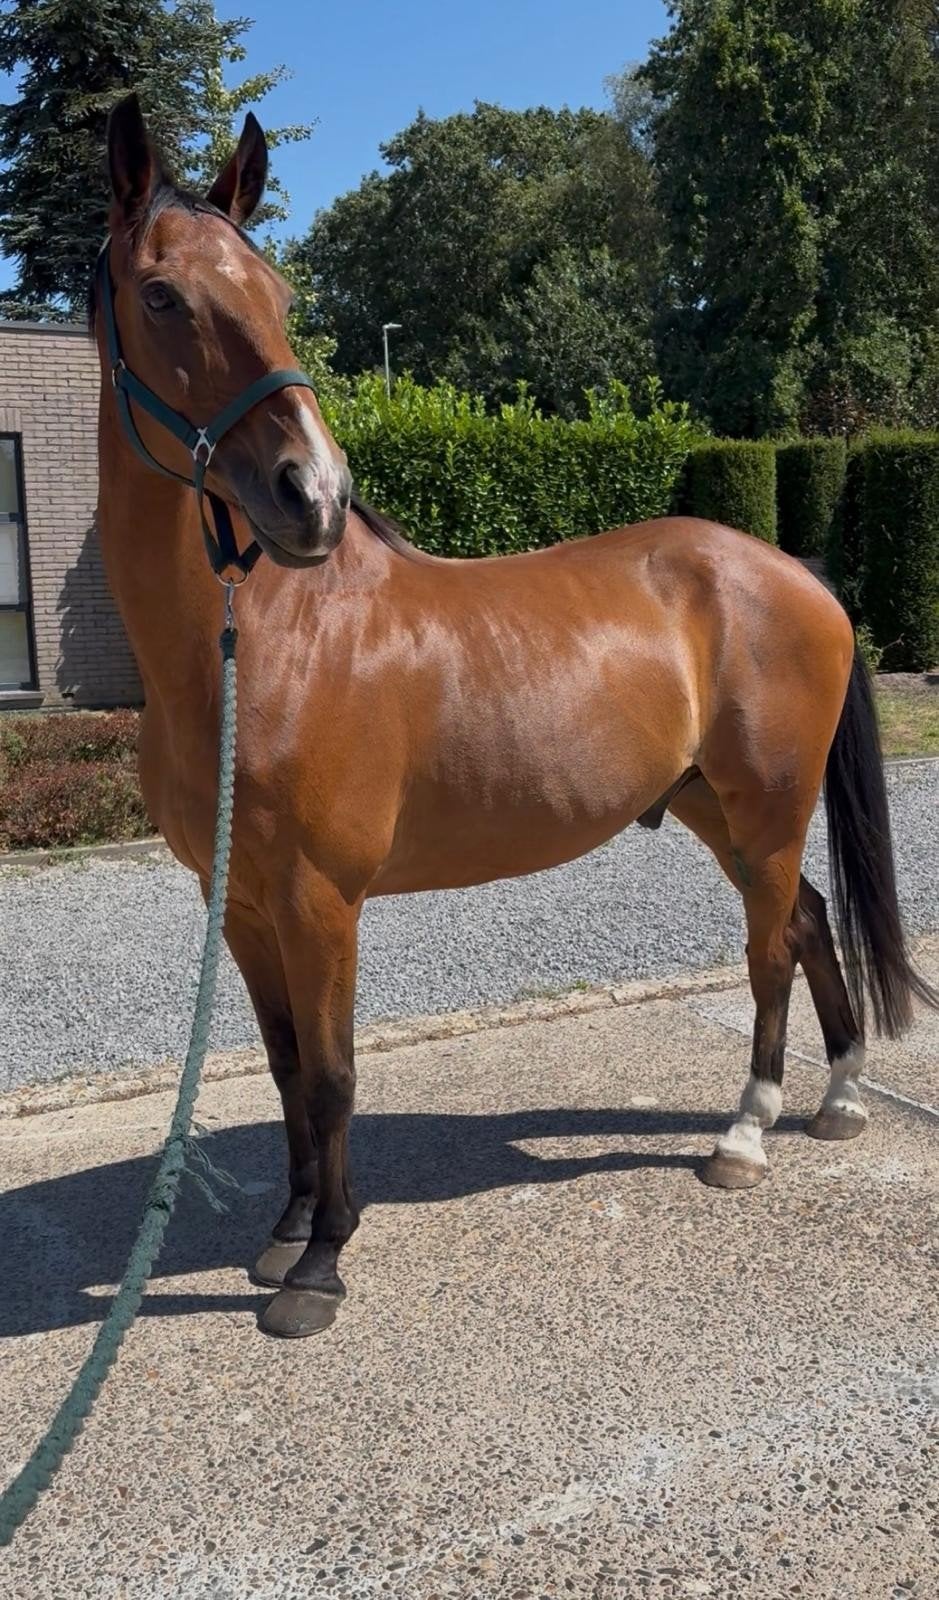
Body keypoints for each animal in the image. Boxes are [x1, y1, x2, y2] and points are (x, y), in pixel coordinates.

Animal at [93, 95, 936, 1338]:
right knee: (813, 921)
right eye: (160, 295)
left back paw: (747, 1132)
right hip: (716, 809)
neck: (261, 651)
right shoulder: (238, 905)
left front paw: (321, 1263)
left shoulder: (320, 902)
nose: (314, 496)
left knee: (773, 946)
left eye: (279, 292)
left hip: (769, 808)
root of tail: (799, 573)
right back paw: (836, 1098)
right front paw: (286, 1229)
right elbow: (287, 1065)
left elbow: (335, 1074)